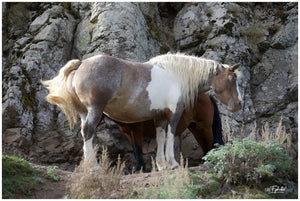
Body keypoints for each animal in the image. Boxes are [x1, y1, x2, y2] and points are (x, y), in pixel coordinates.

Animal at [41, 53, 241, 170]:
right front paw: (173, 163)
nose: (239, 104)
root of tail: (82, 64)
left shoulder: (160, 117)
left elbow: (160, 138)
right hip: (95, 110)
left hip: (84, 112)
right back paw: (93, 167)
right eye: (232, 79)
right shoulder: (173, 114)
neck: (175, 76)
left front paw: (162, 165)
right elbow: (169, 137)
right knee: (88, 132)